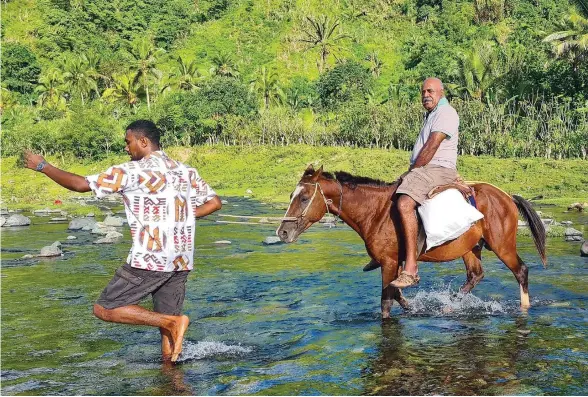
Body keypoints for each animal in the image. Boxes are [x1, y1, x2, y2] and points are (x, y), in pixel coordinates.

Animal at [276, 165, 548, 318]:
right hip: (469, 248)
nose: (283, 232)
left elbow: (386, 302)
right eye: (291, 195)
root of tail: (507, 197)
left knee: (521, 271)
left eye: (304, 198)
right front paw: (413, 309)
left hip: (503, 246)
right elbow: (396, 294)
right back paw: (450, 306)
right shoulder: (395, 264)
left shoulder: (388, 262)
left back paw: (524, 309)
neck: (376, 212)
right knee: (475, 275)